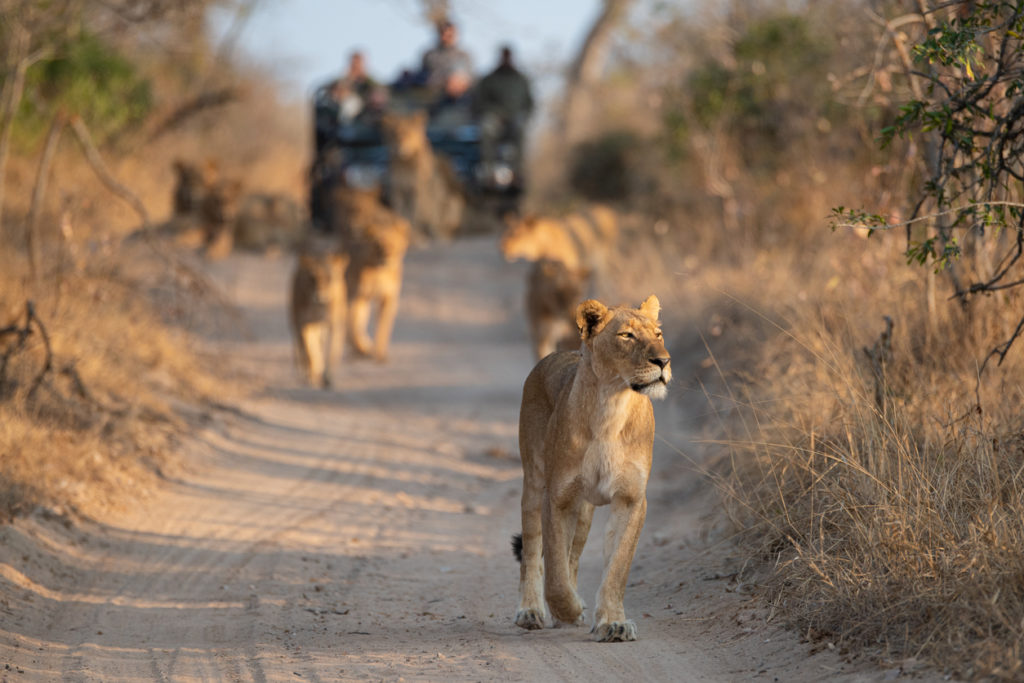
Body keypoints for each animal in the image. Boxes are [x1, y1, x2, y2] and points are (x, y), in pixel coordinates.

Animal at [512, 296, 671, 643]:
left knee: (573, 555)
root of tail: (555, 354)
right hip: (534, 484)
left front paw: (614, 623)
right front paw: (567, 609)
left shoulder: (631, 499)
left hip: (584, 509)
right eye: (627, 336)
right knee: (532, 552)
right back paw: (531, 611)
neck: (612, 403)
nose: (664, 361)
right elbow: (554, 571)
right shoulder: (556, 497)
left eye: (658, 334)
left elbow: (617, 566)